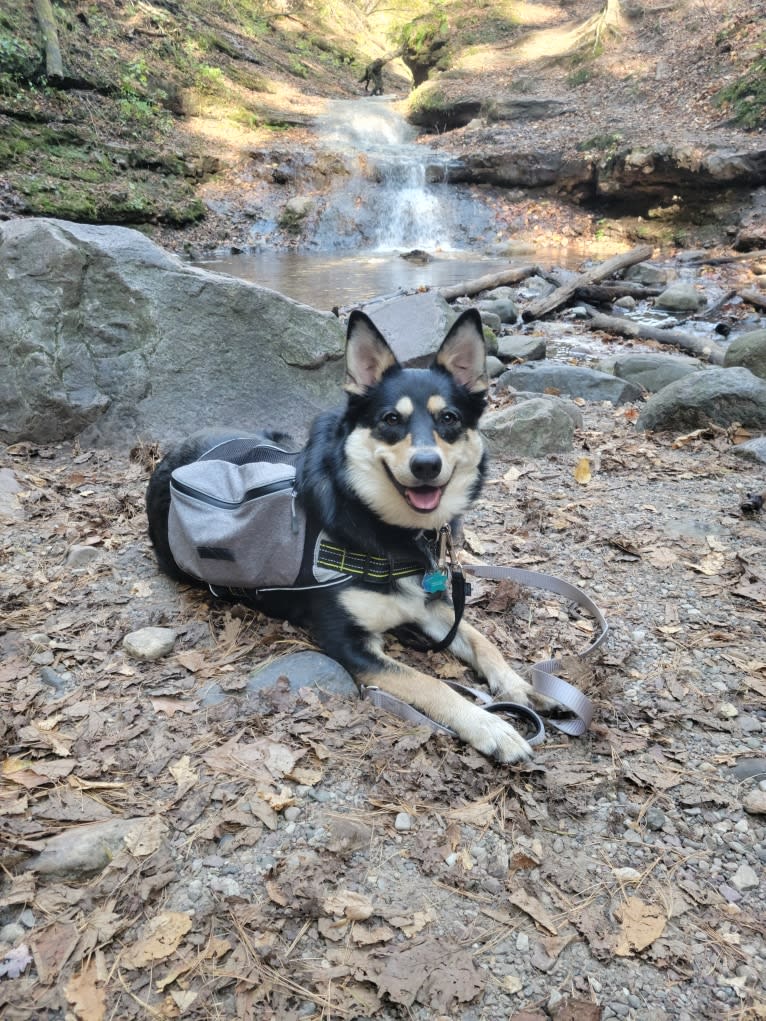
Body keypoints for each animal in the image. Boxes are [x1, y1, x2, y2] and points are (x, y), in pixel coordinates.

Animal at [147, 306, 543, 763]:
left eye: (449, 419)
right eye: (391, 419)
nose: (427, 464)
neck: (386, 529)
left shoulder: (433, 607)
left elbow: (482, 641)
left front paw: (517, 685)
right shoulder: (349, 643)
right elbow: (431, 683)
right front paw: (490, 726)